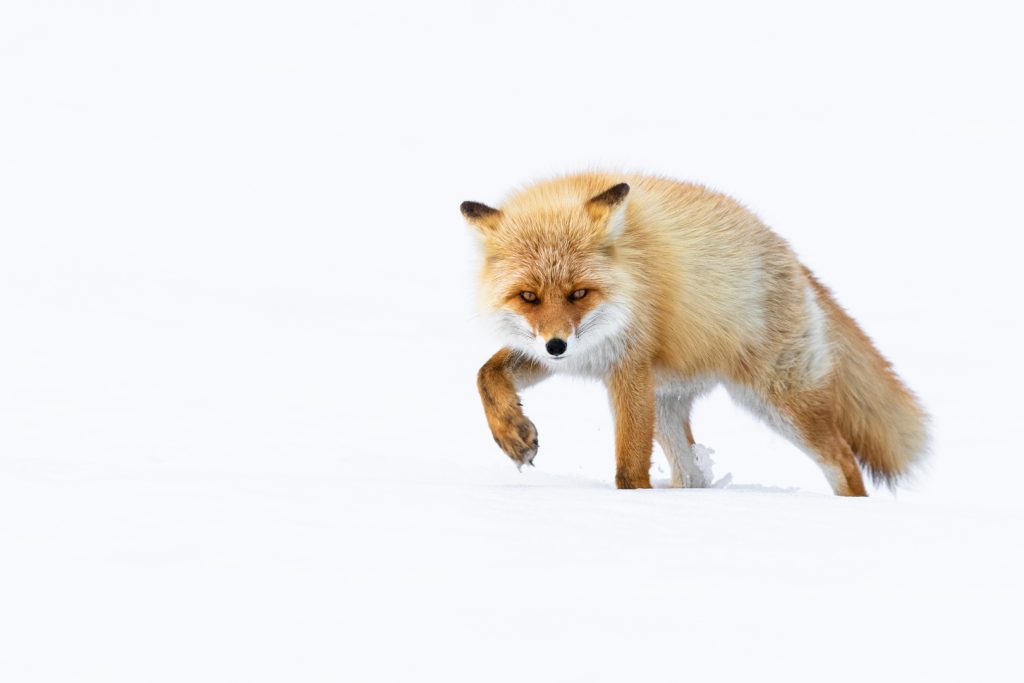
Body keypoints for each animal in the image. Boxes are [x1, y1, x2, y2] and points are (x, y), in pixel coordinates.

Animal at [461, 172, 929, 496]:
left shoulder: (629, 366)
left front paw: (632, 501)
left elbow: (629, 468)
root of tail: (790, 256)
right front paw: (513, 434)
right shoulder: (565, 352)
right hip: (669, 407)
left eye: (579, 293)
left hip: (778, 400)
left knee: (843, 460)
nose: (556, 344)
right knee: (692, 474)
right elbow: (485, 376)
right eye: (528, 296)